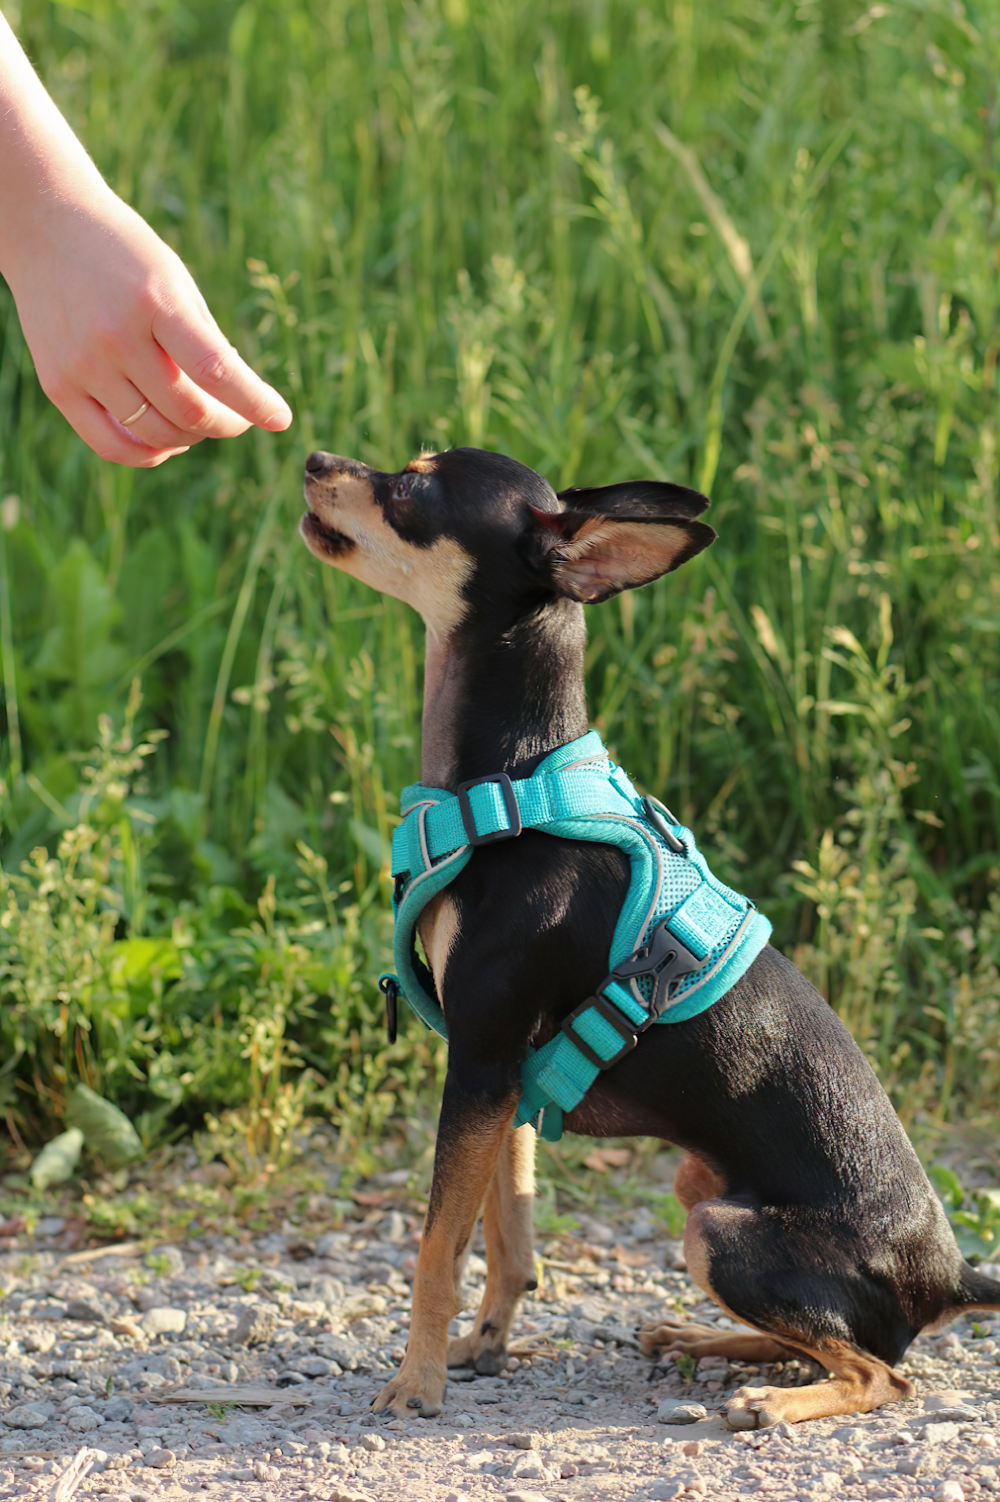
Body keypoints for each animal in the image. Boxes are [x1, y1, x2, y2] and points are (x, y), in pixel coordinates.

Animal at [297, 438, 996, 1423]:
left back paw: (769, 1399)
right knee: (823, 1345)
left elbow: (439, 1247)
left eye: (413, 488)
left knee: (879, 1372)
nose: (315, 455)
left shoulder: (478, 1061)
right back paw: (705, 1341)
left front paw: (416, 1381)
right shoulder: (505, 1078)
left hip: (719, 1230)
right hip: (698, 1188)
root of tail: (951, 1276)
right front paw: (485, 1347)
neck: (511, 785)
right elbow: (509, 1234)